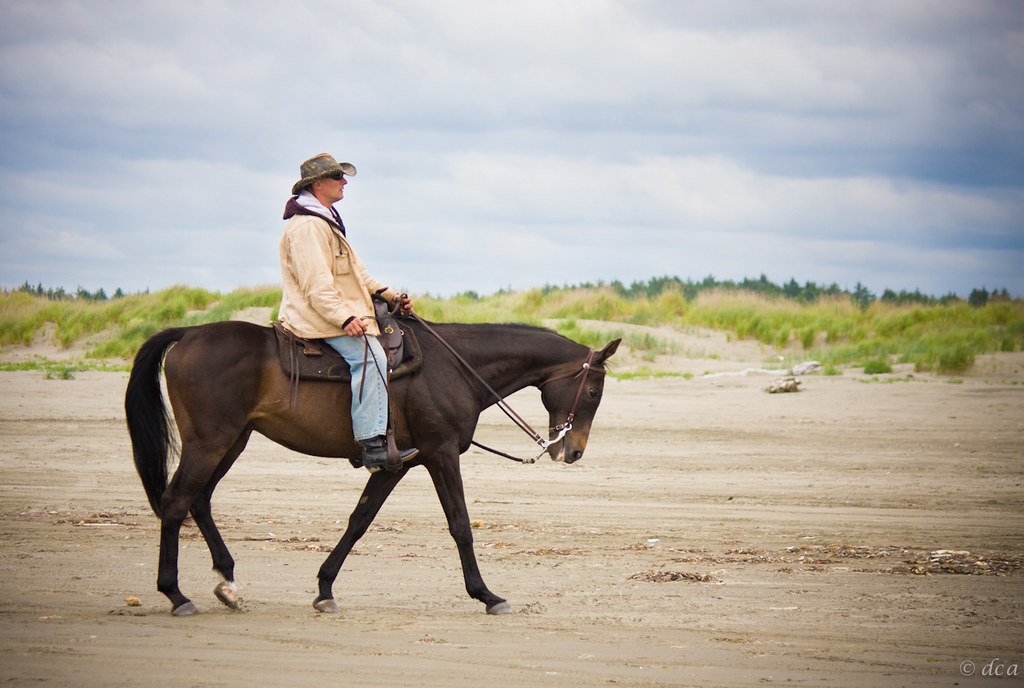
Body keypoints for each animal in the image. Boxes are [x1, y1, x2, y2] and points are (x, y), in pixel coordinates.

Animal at [124, 316, 620, 616]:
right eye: (595, 390)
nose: (574, 451)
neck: (456, 368)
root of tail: (189, 332)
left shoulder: (396, 464)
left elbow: (359, 520)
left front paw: (325, 589)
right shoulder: (440, 453)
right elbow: (461, 524)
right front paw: (486, 594)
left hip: (232, 441)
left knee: (200, 501)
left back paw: (226, 581)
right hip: (210, 442)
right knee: (176, 502)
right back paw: (175, 594)